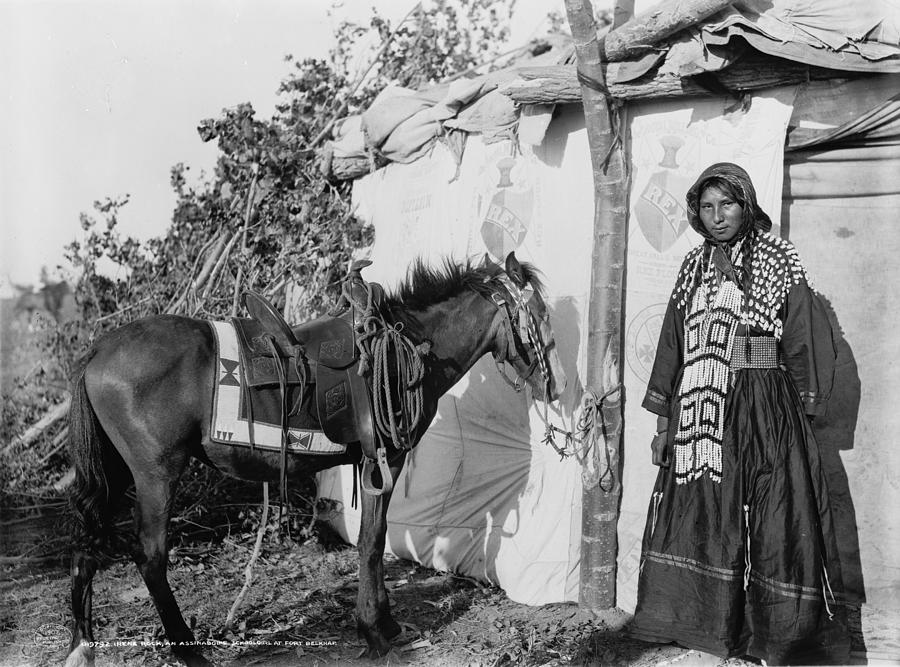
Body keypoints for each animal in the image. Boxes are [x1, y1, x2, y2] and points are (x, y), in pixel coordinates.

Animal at [67, 252, 568, 667]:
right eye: (540, 316)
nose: (558, 386)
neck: (409, 347)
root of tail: (97, 350)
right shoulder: (385, 459)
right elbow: (372, 541)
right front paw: (374, 630)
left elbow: (372, 537)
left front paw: (383, 622)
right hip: (156, 475)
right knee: (150, 556)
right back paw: (189, 652)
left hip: (116, 474)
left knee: (86, 543)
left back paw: (81, 647)